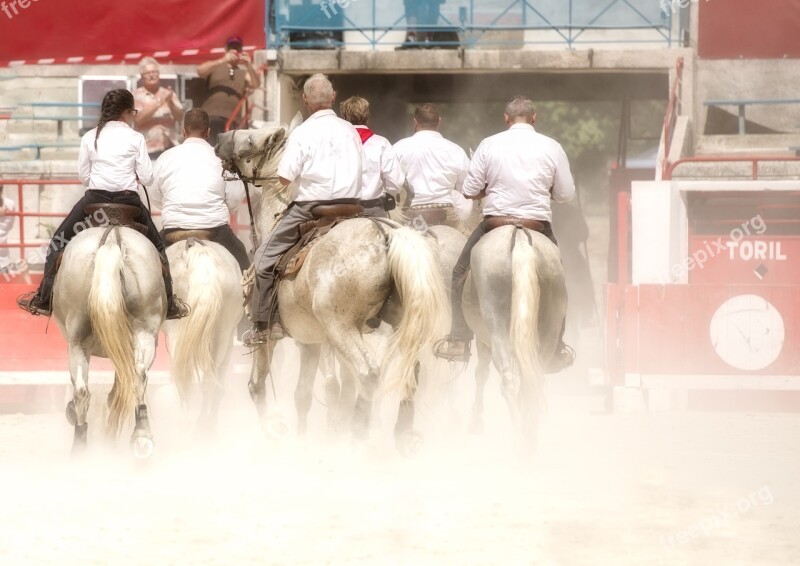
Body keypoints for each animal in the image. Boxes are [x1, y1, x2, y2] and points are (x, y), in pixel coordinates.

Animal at [55, 224, 166, 460]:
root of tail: (111, 242)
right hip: (142, 334)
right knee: (135, 376)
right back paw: (141, 434)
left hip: (78, 343)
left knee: (84, 390)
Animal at [216, 126, 446, 450]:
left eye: (250, 139)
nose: (219, 140)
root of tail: (386, 235)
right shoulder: (310, 341)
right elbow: (303, 394)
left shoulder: (276, 338)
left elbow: (257, 385)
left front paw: (274, 431)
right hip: (399, 324)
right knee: (409, 372)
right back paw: (400, 432)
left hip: (342, 327)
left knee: (368, 373)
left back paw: (358, 434)